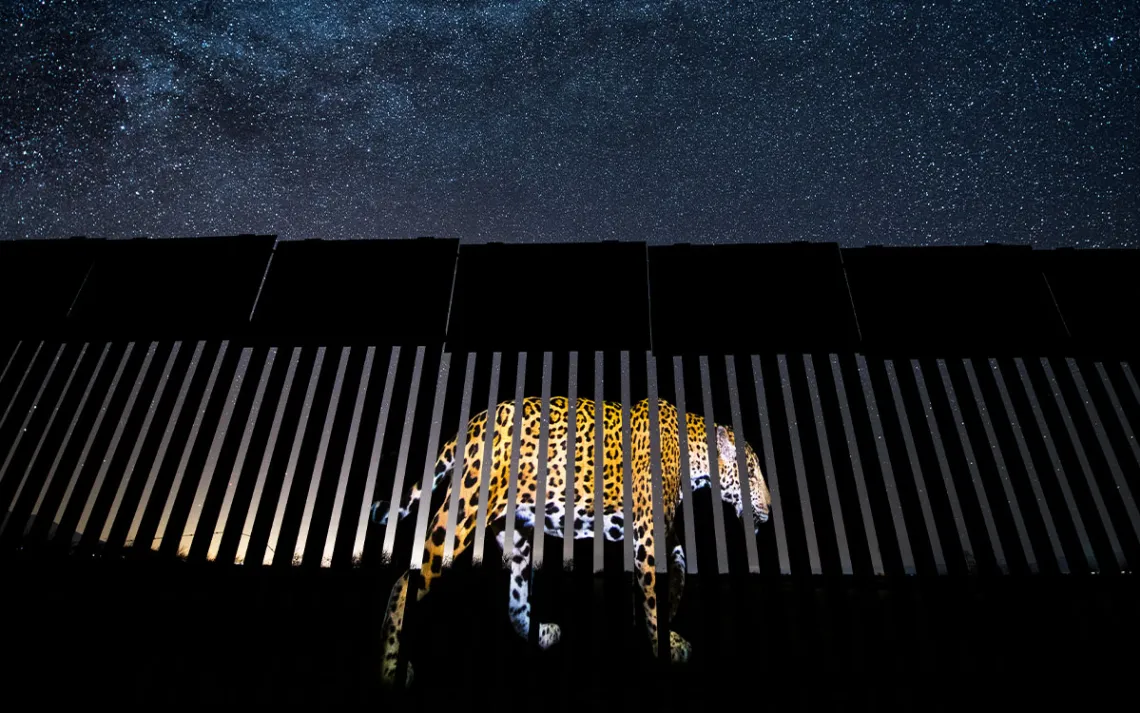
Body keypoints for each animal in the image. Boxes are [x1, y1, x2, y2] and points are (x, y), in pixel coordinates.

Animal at [373, 396, 771, 687]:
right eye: (751, 473)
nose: (769, 508)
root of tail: (475, 422)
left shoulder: (660, 534)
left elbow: (680, 566)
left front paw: (669, 616)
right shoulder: (646, 539)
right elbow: (654, 593)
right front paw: (665, 644)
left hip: (517, 532)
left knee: (516, 598)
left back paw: (542, 634)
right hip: (460, 516)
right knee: (404, 583)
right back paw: (391, 668)